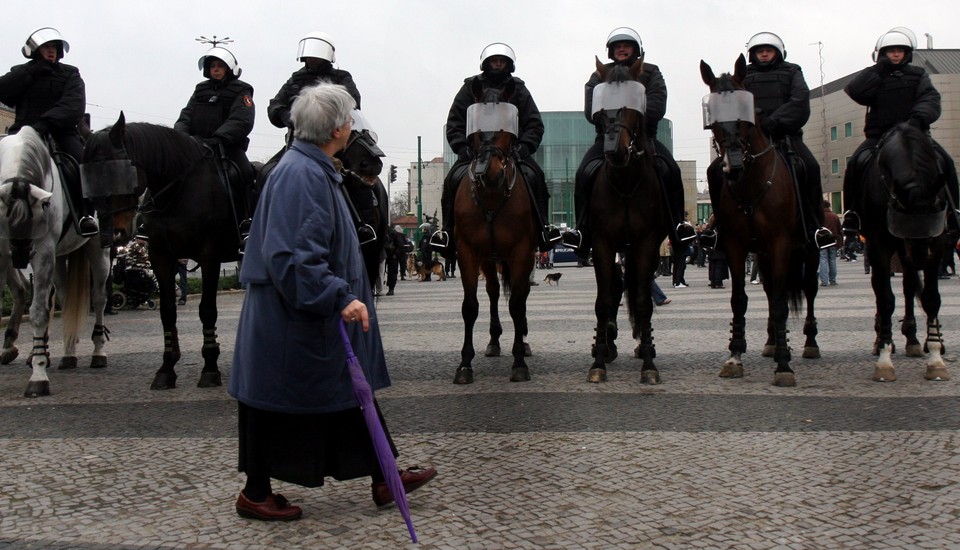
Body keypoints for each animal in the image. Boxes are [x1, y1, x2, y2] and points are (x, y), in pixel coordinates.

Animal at [0, 128, 110, 398]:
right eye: (7, 220)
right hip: (59, 258)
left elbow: (39, 311)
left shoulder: (44, 251)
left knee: (99, 298)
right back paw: (68, 353)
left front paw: (38, 376)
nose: (20, 254)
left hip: (97, 251)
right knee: (63, 296)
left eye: (40, 211)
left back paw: (98, 351)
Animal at [452, 75, 536, 386]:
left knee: (520, 295)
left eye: (506, 126)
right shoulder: (467, 252)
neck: (491, 197)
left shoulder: (522, 251)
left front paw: (519, 361)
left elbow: (518, 304)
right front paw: (465, 364)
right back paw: (494, 340)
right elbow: (470, 306)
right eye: (475, 127)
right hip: (489, 259)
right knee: (492, 291)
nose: (491, 174)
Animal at [700, 54, 820, 386]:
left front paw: (784, 365)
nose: (733, 166)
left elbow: (781, 302)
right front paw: (735, 355)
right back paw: (771, 342)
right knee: (768, 293)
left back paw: (808, 343)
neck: (752, 184)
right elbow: (740, 299)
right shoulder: (736, 246)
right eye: (713, 116)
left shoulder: (780, 244)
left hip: (810, 249)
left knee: (808, 289)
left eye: (745, 113)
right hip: (763, 255)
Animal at [856, 122, 952, 382]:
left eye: (929, 231)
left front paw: (936, 358)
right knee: (883, 288)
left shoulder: (937, 241)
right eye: (904, 228)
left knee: (909, 286)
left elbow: (930, 297)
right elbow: (885, 298)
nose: (919, 260)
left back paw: (914, 340)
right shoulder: (879, 242)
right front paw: (884, 359)